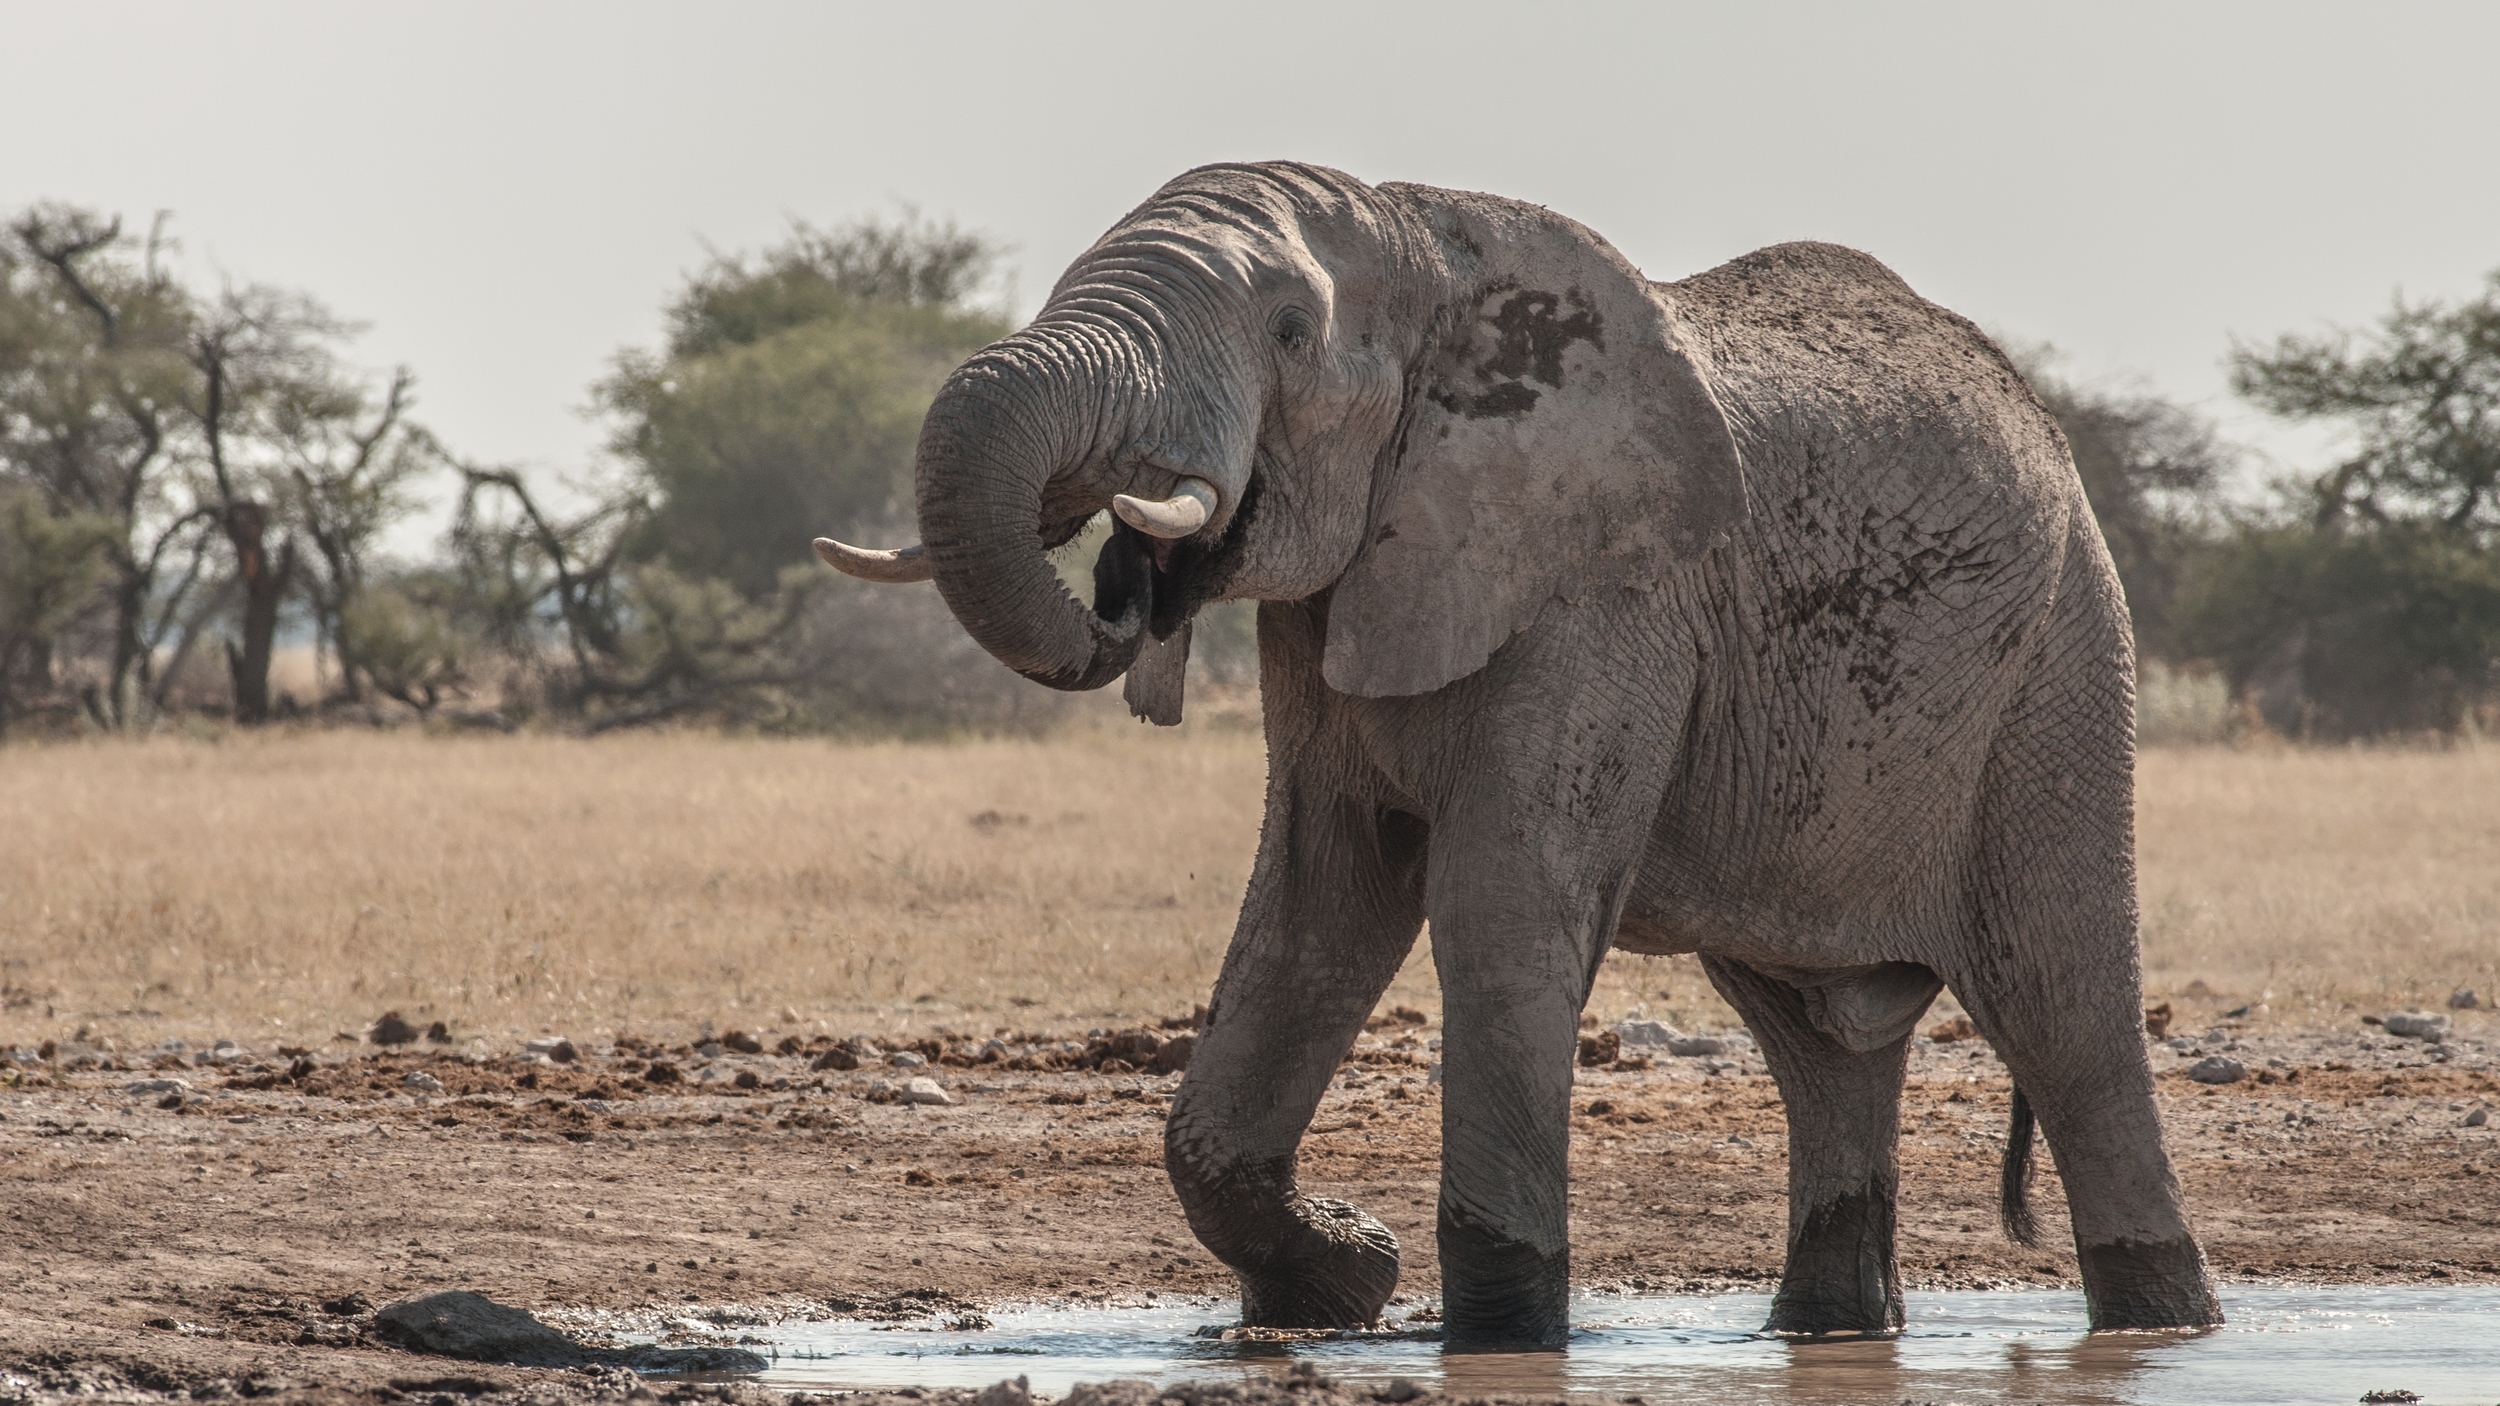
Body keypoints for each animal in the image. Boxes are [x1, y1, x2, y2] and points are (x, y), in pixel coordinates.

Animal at [810, 158, 2220, 1340]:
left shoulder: (1607, 592)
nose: (1128, 578)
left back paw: (2162, 1324)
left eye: (1289, 332)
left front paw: (1485, 1329)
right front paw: (1347, 1275)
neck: (1424, 247)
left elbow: (1497, 898)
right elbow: (1314, 904)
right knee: (1820, 1035)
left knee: (2060, 998)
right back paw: (1828, 1331)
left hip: (2058, 668)